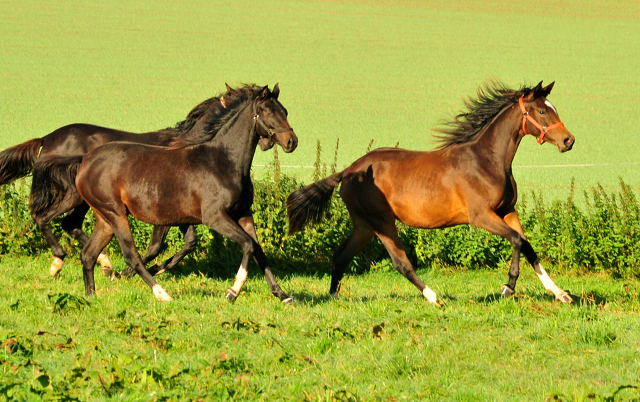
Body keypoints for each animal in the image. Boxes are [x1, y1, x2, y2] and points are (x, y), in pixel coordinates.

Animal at [31, 84, 296, 302]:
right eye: (268, 112)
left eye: (285, 111)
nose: (291, 141)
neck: (222, 161)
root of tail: (85, 159)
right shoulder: (214, 217)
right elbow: (247, 245)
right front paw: (233, 291)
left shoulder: (242, 213)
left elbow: (258, 250)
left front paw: (282, 294)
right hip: (113, 213)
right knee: (129, 254)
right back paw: (160, 293)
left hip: (103, 217)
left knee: (87, 253)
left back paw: (92, 294)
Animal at [288, 80, 576, 304]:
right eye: (542, 110)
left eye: (553, 108)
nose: (568, 140)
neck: (486, 160)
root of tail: (348, 171)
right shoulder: (481, 216)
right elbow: (517, 241)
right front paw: (508, 287)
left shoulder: (507, 210)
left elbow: (528, 246)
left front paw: (560, 293)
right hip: (382, 222)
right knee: (400, 262)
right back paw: (434, 297)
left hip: (364, 225)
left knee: (341, 257)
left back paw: (333, 297)